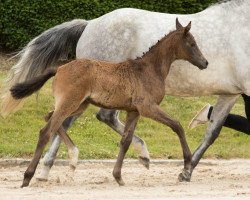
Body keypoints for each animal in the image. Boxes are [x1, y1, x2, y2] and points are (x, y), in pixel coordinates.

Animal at [10, 19, 208, 188]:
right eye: (192, 44)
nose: (205, 62)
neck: (148, 69)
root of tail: (59, 68)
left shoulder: (133, 111)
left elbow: (126, 140)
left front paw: (118, 176)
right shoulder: (147, 107)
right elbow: (177, 125)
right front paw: (186, 167)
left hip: (79, 104)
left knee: (50, 118)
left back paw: (73, 157)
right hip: (70, 102)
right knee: (46, 130)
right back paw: (28, 177)